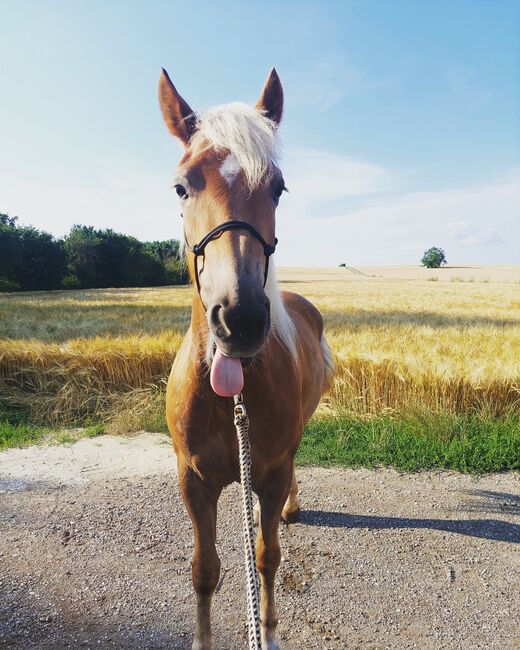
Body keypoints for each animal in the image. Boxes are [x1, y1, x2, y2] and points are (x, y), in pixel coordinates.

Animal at [159, 67, 334, 648]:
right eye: (181, 185)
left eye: (277, 187)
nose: (240, 318)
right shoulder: (194, 482)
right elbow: (204, 569)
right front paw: (202, 638)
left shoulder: (272, 473)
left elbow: (266, 556)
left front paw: (271, 631)